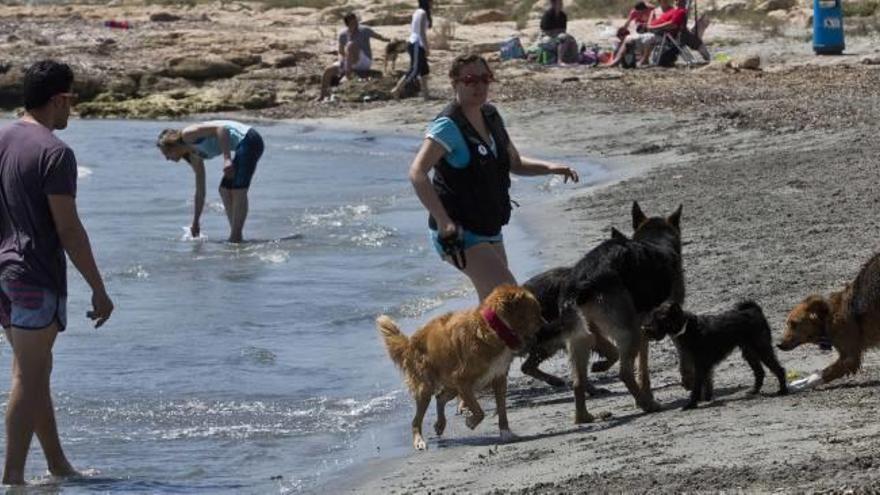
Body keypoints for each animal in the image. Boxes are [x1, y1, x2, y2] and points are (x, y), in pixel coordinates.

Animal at [376, 284, 544, 452]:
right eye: (535, 310)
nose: (546, 323)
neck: (494, 328)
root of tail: (410, 343)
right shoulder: (462, 381)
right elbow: (479, 411)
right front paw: (471, 422)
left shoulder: (498, 378)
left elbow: (502, 410)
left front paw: (506, 433)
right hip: (426, 387)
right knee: (417, 419)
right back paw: (419, 440)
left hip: (451, 386)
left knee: (440, 397)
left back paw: (440, 424)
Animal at [640, 302, 792, 410]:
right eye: (653, 316)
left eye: (661, 318)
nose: (645, 329)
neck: (687, 327)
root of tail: (754, 311)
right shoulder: (702, 366)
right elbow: (706, 381)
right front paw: (706, 398)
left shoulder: (700, 365)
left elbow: (697, 386)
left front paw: (692, 404)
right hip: (749, 352)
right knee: (759, 372)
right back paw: (754, 391)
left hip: (761, 349)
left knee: (778, 369)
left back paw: (783, 390)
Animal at [780, 254, 880, 390]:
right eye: (787, 323)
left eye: (794, 324)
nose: (778, 344)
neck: (828, 319)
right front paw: (797, 382)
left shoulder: (850, 358)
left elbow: (819, 374)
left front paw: (795, 387)